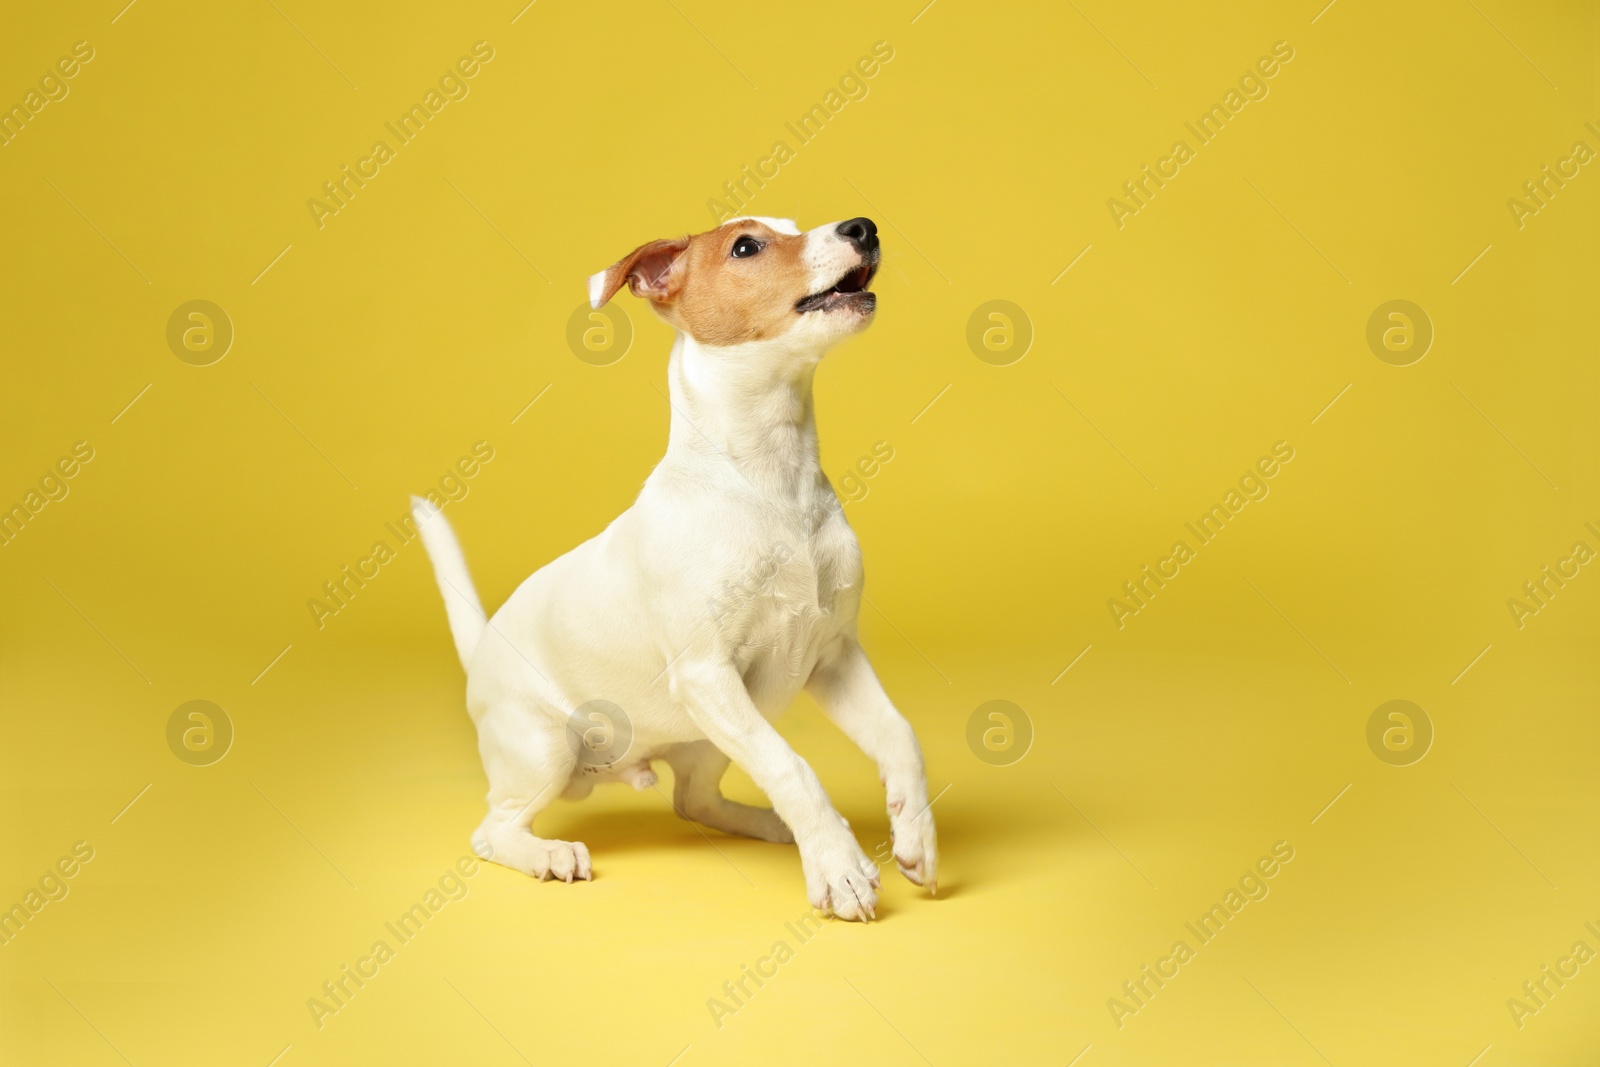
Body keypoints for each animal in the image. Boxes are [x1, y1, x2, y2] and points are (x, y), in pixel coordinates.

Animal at [412, 214, 934, 921]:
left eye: (797, 226)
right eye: (746, 246)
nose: (863, 226)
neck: (772, 483)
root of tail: (482, 648)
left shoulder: (834, 658)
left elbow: (898, 735)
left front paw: (913, 834)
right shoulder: (708, 674)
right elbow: (794, 766)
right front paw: (840, 869)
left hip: (710, 739)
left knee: (696, 800)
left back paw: (770, 826)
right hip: (545, 746)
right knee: (493, 830)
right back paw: (548, 854)